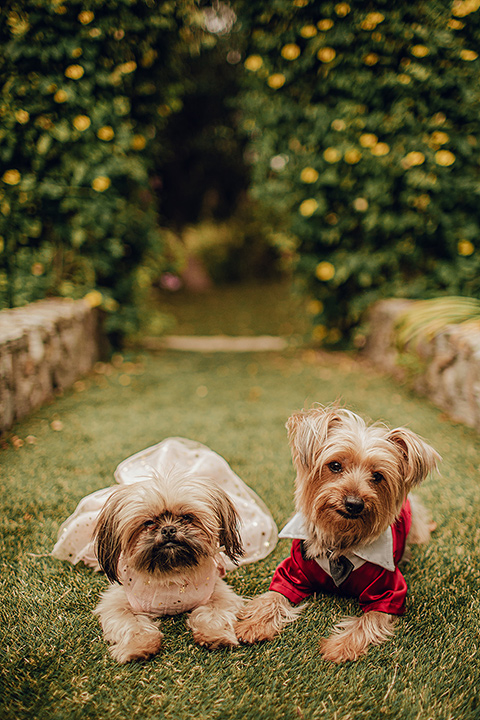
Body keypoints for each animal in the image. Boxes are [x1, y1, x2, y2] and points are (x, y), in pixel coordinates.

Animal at [92, 472, 246, 664]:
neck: (170, 576)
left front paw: (215, 635)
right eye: (148, 523)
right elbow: (131, 624)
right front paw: (139, 645)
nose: (168, 529)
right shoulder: (117, 602)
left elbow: (214, 614)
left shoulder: (219, 593)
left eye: (187, 517)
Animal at [234, 404, 440, 664]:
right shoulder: (292, 571)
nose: (354, 503)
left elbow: (368, 621)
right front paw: (253, 624)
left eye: (378, 476)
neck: (340, 542)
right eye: (334, 466)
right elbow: (273, 596)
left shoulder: (390, 591)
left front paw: (341, 646)